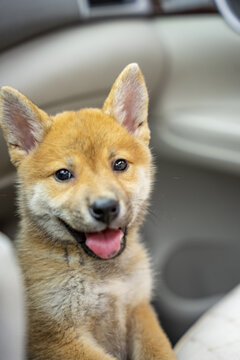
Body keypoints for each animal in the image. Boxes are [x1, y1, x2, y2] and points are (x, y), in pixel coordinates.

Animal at [0, 64, 176, 360]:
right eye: (63, 174)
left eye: (119, 164)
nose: (105, 208)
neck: (104, 276)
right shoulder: (57, 338)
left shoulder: (138, 308)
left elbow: (159, 351)